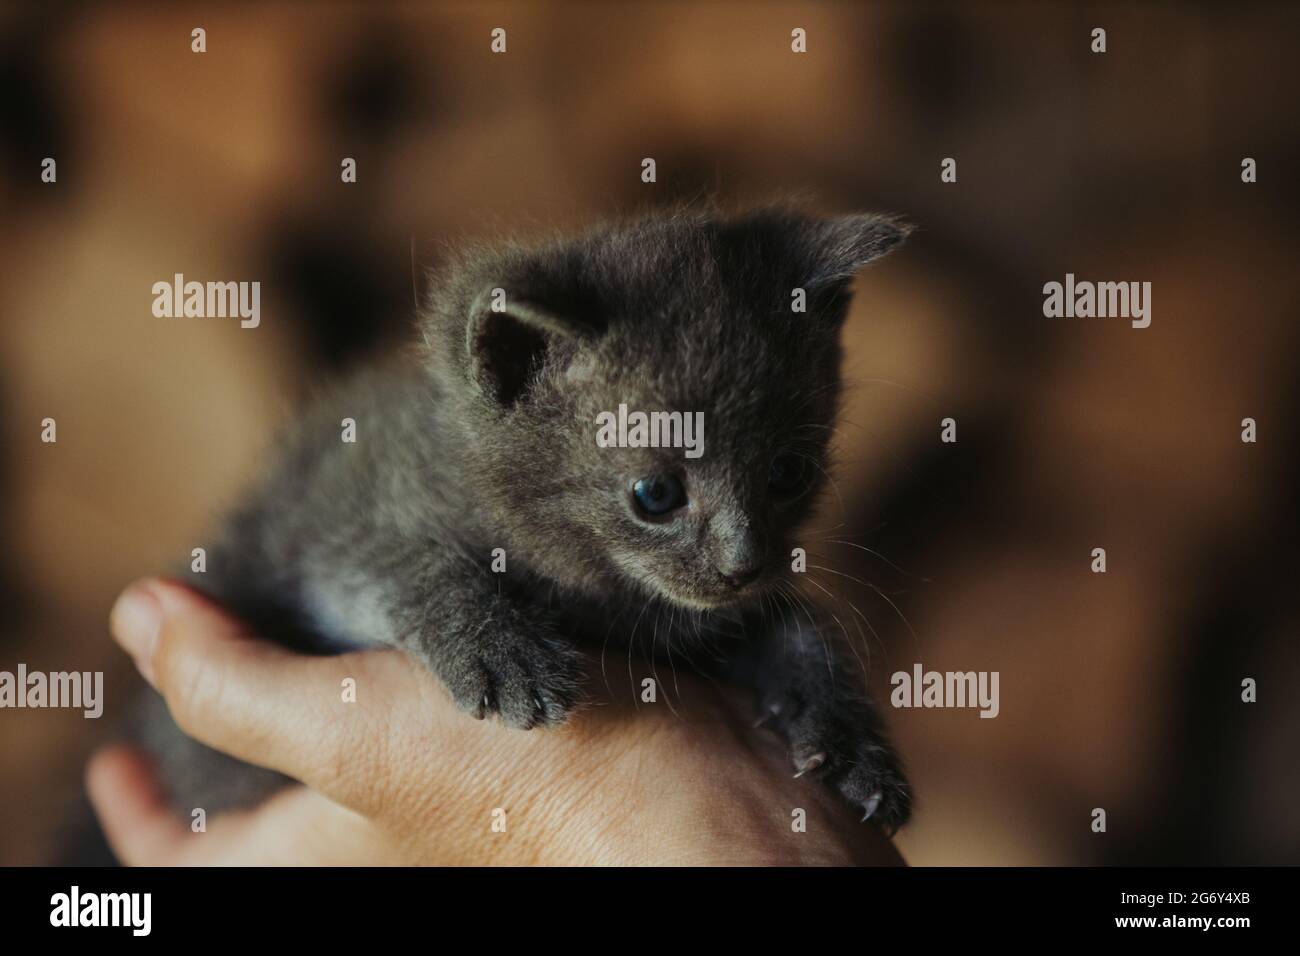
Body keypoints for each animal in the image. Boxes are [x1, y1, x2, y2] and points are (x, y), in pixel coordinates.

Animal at [139, 205, 915, 832]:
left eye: (789, 474)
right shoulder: (338, 525)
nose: (743, 563)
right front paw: (500, 650)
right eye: (655, 495)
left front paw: (852, 744)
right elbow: (397, 563)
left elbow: (802, 622)